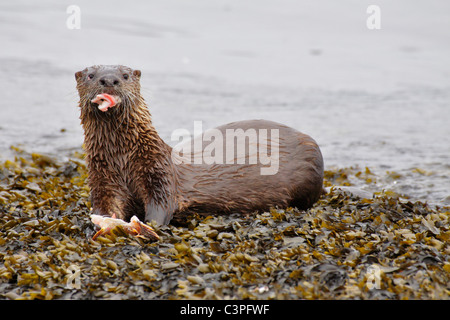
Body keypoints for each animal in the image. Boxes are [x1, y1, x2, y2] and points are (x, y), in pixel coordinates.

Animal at [76, 64, 324, 225]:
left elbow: (161, 206)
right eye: (91, 75)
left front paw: (146, 225)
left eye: (125, 75)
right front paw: (104, 223)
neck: (123, 158)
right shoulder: (102, 178)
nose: (109, 80)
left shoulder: (160, 173)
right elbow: (105, 206)